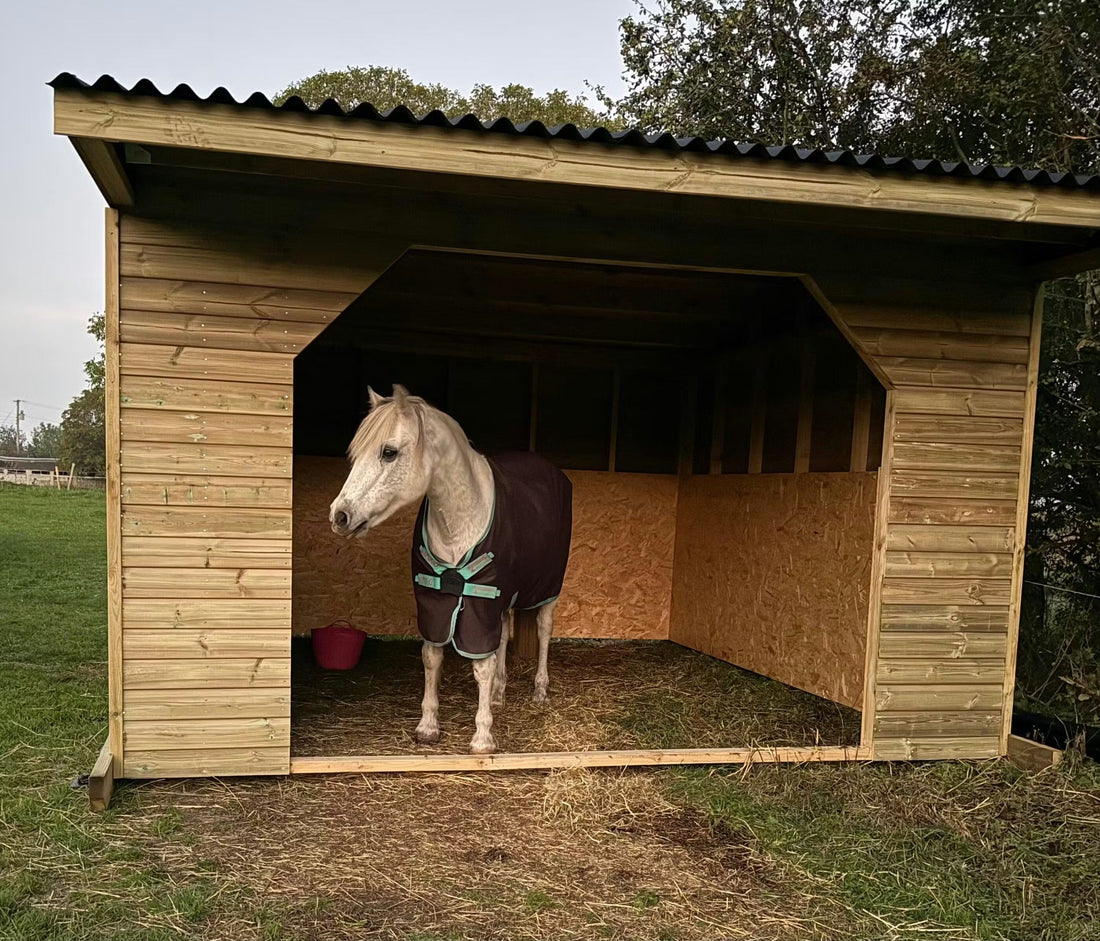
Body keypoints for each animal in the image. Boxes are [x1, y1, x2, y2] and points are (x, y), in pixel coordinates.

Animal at [329, 385, 573, 754]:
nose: (339, 515)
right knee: (503, 634)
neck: (458, 523)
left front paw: (483, 738)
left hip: (547, 589)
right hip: (505, 595)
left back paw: (540, 691)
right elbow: (433, 658)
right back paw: (499, 694)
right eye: (355, 454)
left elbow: (481, 665)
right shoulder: (438, 601)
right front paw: (428, 726)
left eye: (389, 452)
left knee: (544, 630)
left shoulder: (481, 604)